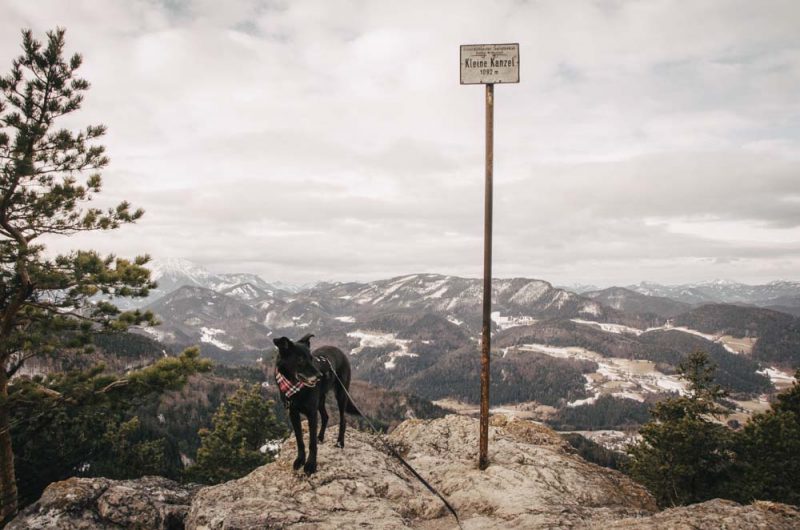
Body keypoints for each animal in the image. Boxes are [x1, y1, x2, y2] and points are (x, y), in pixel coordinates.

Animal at [276, 332, 362, 472]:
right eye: (300, 360)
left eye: (311, 358)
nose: (321, 375)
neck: (296, 387)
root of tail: (338, 350)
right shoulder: (293, 414)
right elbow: (300, 440)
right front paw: (300, 460)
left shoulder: (312, 413)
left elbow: (311, 443)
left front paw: (311, 464)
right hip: (321, 399)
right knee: (326, 416)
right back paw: (320, 437)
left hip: (341, 394)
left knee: (343, 420)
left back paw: (340, 442)